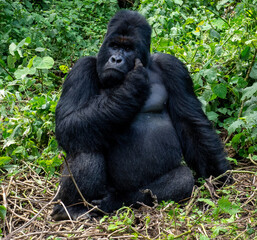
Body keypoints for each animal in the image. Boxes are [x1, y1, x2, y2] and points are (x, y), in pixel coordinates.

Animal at [50, 10, 230, 221]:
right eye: (114, 46)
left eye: (128, 49)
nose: (115, 59)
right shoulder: (80, 68)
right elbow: (67, 123)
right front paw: (130, 88)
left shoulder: (173, 66)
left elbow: (191, 122)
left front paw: (217, 174)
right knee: (85, 148)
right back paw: (71, 208)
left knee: (182, 178)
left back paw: (117, 201)